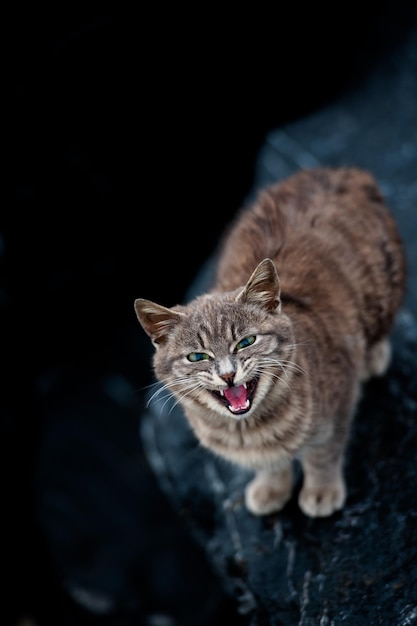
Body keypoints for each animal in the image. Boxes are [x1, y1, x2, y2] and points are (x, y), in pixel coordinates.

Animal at [135, 166, 404, 516]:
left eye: (246, 341)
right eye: (197, 357)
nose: (228, 374)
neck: (250, 430)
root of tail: (342, 170)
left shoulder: (338, 405)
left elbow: (323, 452)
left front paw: (321, 490)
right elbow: (270, 465)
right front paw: (272, 487)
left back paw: (374, 355)